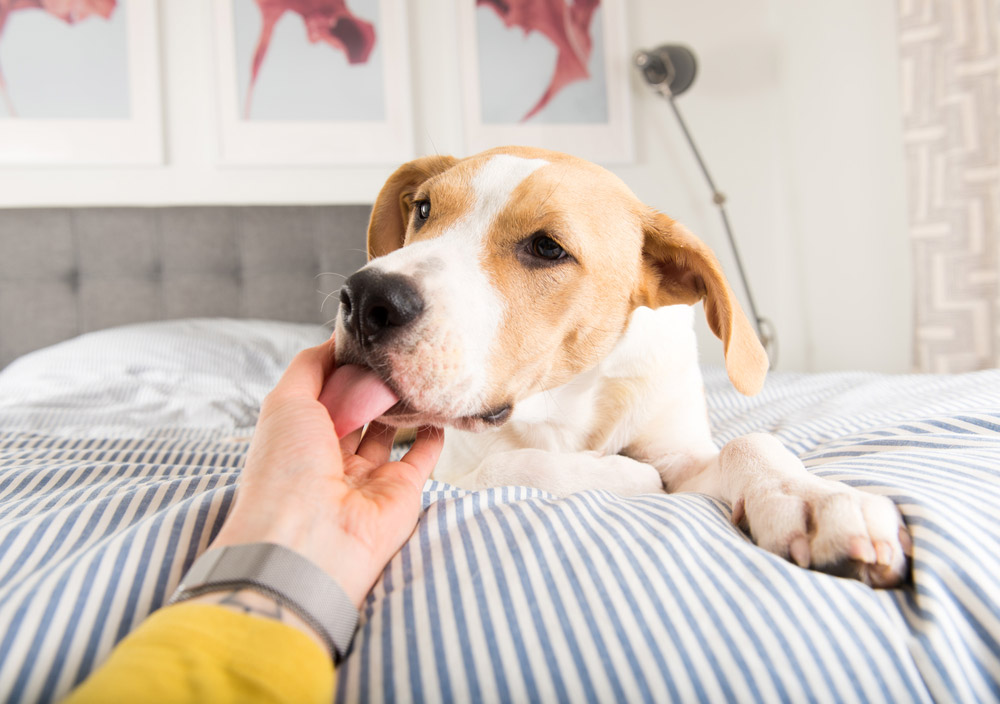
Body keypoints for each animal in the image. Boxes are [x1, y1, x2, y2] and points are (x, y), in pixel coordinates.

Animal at [338, 148, 916, 588]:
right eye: (424, 209)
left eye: (547, 247)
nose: (365, 299)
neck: (571, 397)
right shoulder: (452, 465)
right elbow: (513, 464)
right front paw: (623, 475)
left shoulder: (681, 452)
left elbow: (748, 444)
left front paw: (812, 497)